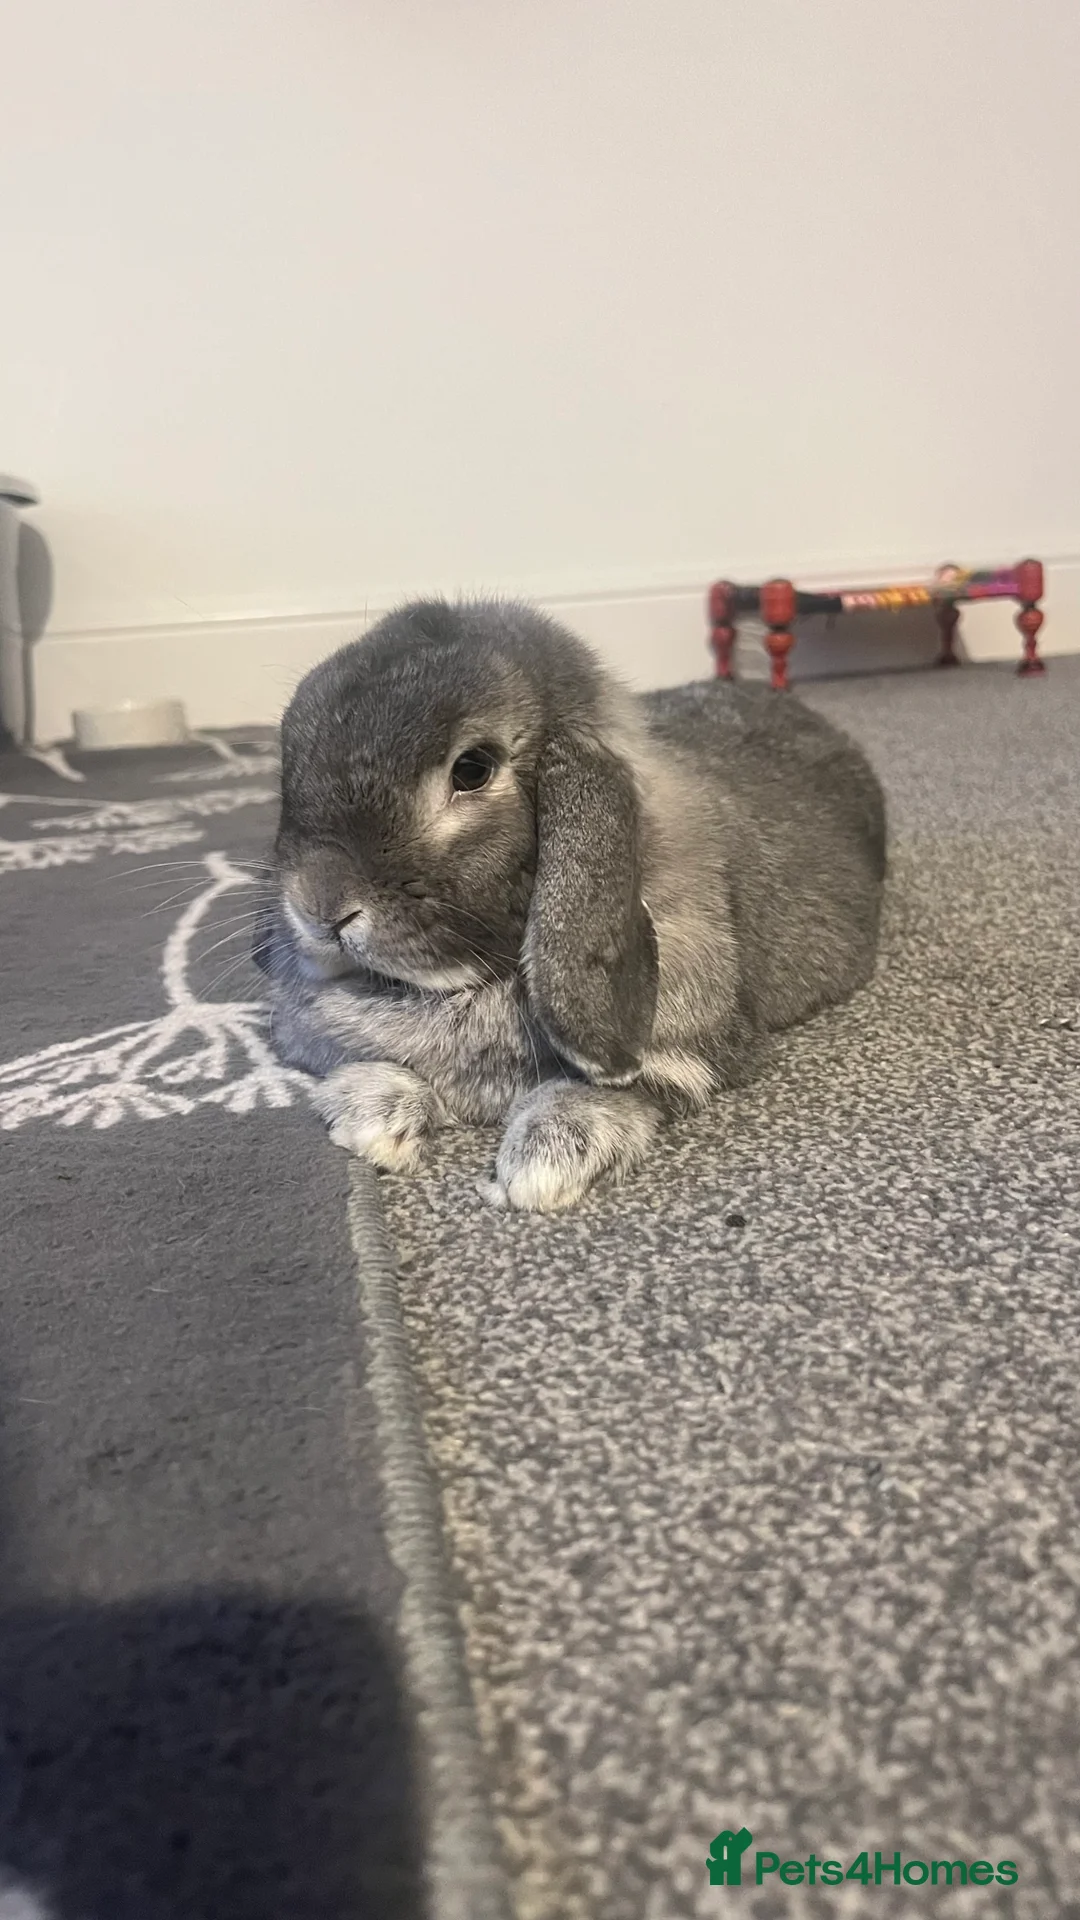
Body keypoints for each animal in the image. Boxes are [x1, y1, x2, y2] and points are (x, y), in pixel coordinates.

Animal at [254, 596, 886, 1212]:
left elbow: (611, 1090)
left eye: (472, 769)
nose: (319, 906)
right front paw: (373, 1117)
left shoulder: (696, 1055)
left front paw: (539, 1168)